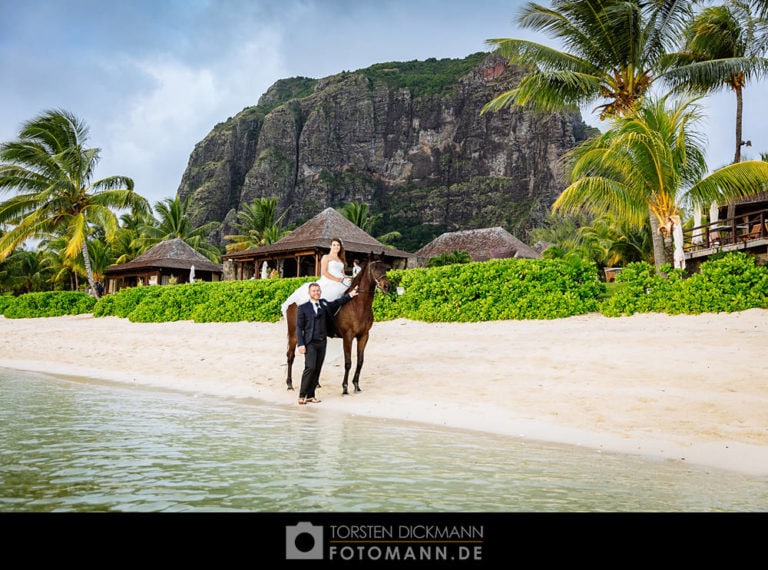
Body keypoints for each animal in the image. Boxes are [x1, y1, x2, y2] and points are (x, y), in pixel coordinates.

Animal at [282, 253, 390, 394]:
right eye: (375, 268)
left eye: (385, 268)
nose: (387, 286)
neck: (357, 305)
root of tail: (292, 302)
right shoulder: (348, 337)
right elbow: (348, 362)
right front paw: (345, 387)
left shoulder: (364, 336)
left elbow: (360, 362)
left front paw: (356, 385)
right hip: (294, 334)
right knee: (290, 356)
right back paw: (289, 384)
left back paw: (315, 384)